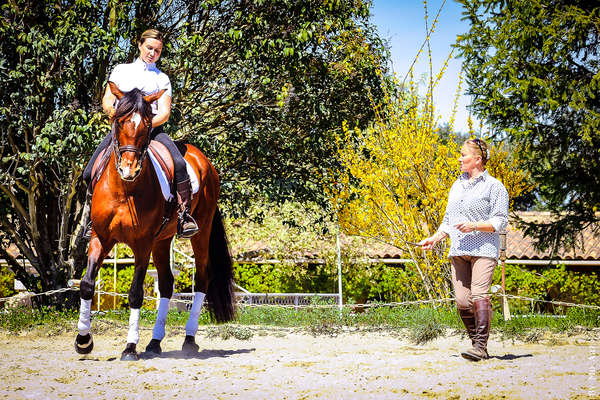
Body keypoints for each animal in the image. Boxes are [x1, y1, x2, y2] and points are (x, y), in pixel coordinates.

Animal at [74, 83, 234, 360]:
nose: (129, 169)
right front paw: (83, 340)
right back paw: (155, 342)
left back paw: (189, 340)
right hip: (162, 240)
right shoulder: (100, 238)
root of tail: (202, 159)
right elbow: (86, 284)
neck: (124, 190)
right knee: (168, 283)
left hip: (199, 232)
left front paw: (129, 347)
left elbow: (136, 294)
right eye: (120, 121)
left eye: (147, 124)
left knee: (202, 277)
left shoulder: (142, 244)